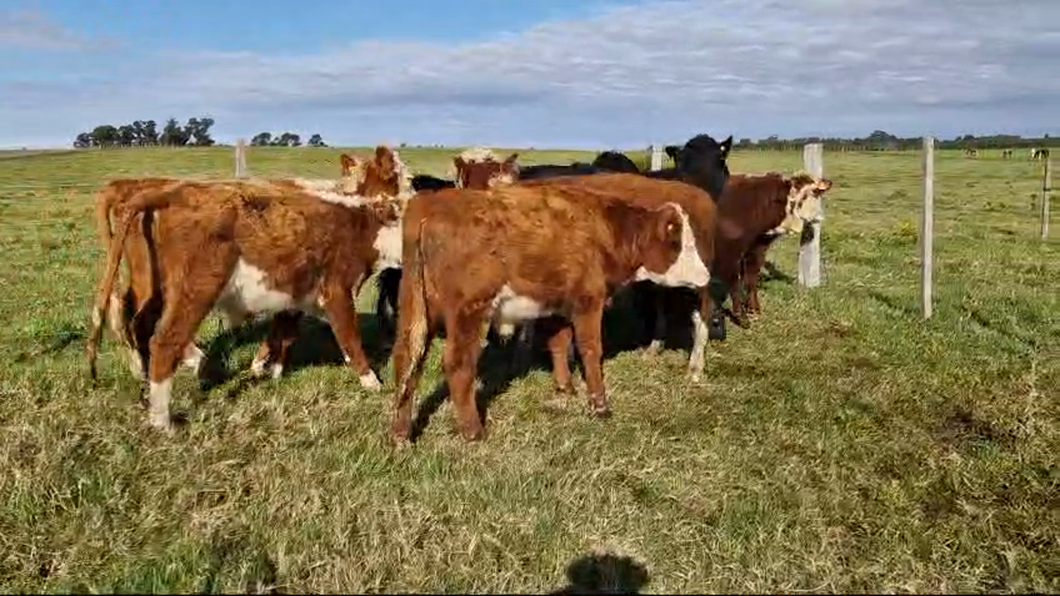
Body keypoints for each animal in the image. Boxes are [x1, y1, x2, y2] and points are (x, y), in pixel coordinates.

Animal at [87, 176, 404, 430]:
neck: (361, 224)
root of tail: (172, 191)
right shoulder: (337, 291)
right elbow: (350, 339)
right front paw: (371, 382)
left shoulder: (294, 293)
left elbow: (284, 333)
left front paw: (267, 369)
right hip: (195, 289)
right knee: (164, 340)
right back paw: (163, 420)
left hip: (154, 286)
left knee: (137, 324)